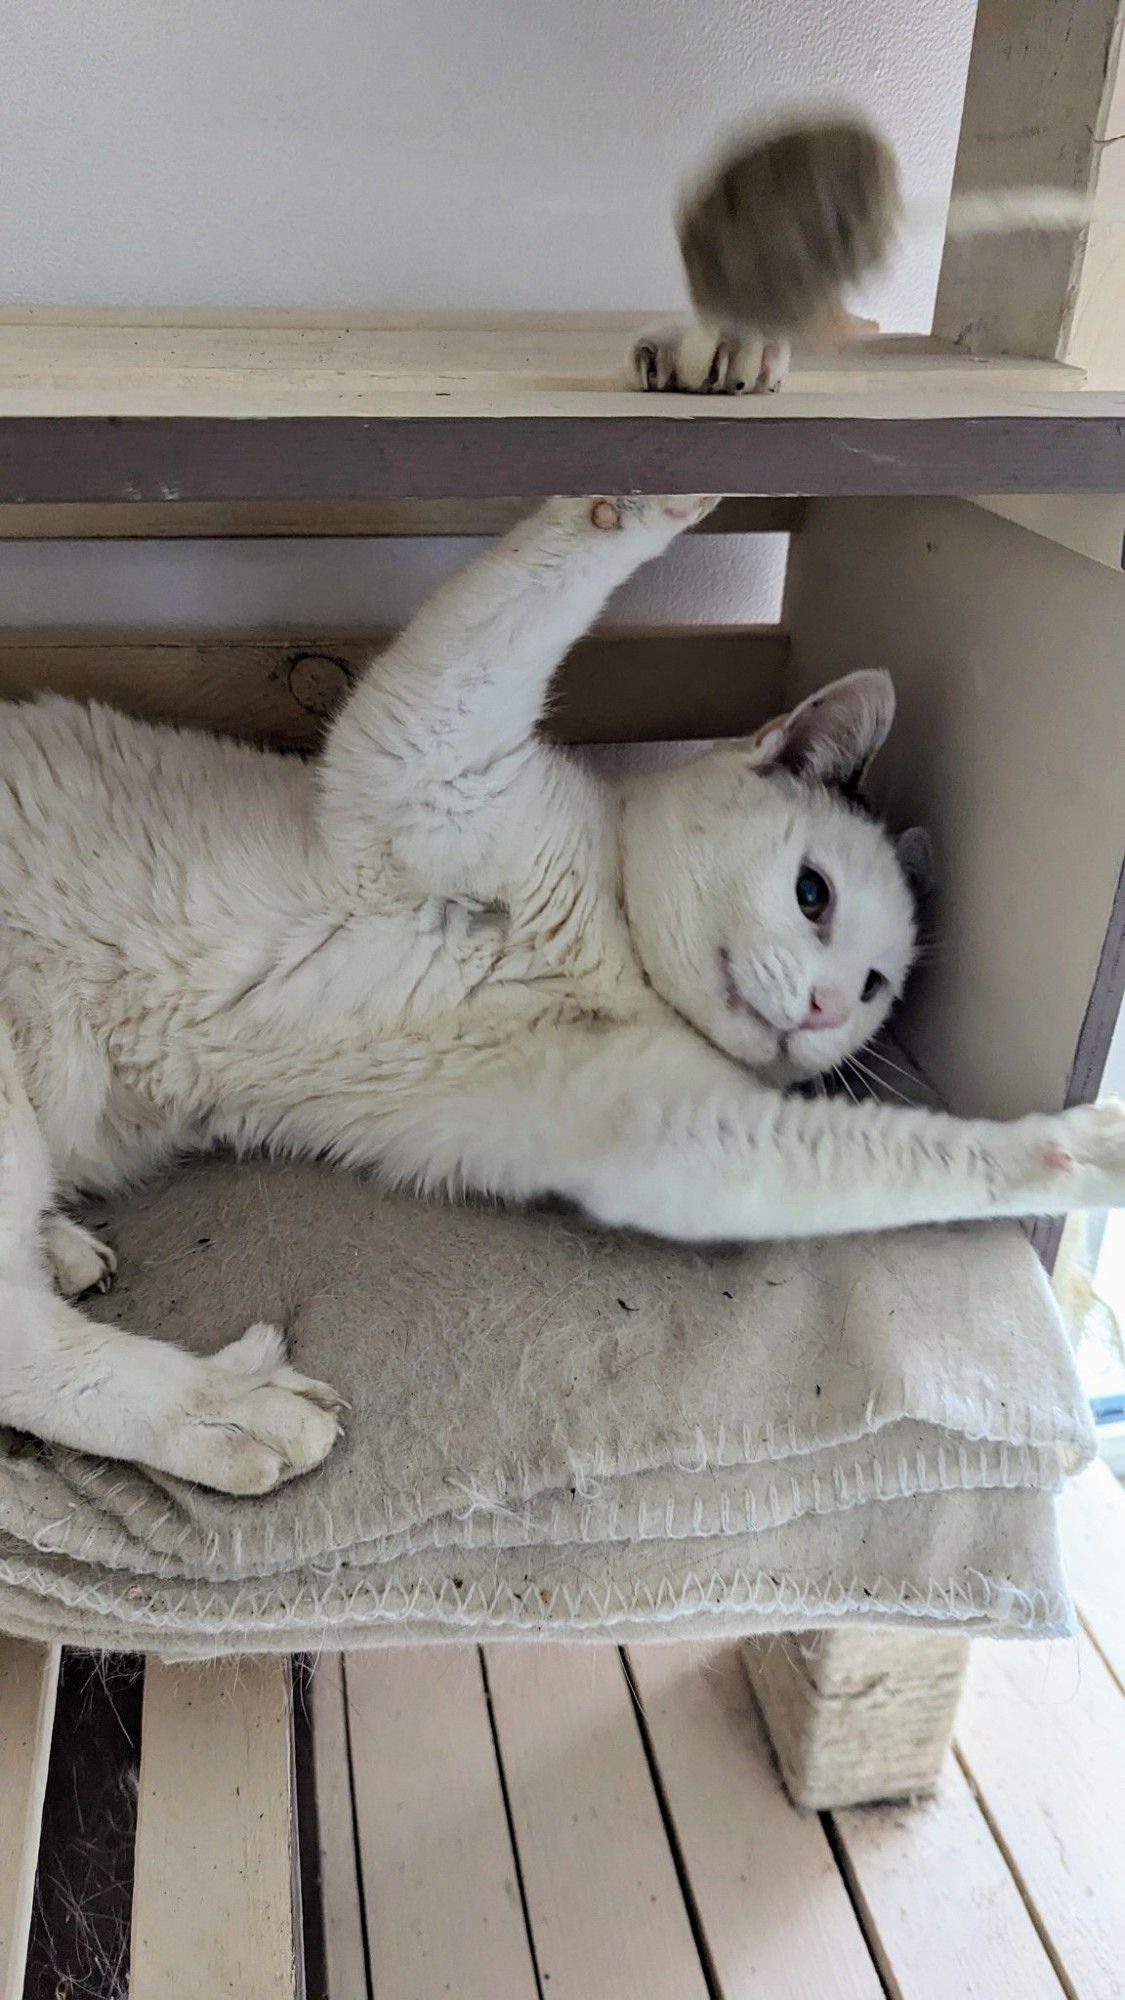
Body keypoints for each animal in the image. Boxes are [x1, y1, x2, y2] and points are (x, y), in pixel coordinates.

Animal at [0, 500, 1112, 1496]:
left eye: (879, 986)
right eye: (812, 895)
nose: (828, 1013)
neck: (612, 951)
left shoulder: (672, 1136)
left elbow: (911, 1157)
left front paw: (1068, 1155)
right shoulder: (426, 761)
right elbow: (531, 583)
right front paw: (677, 479)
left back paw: (74, 1262)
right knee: (21, 1347)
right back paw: (220, 1409)